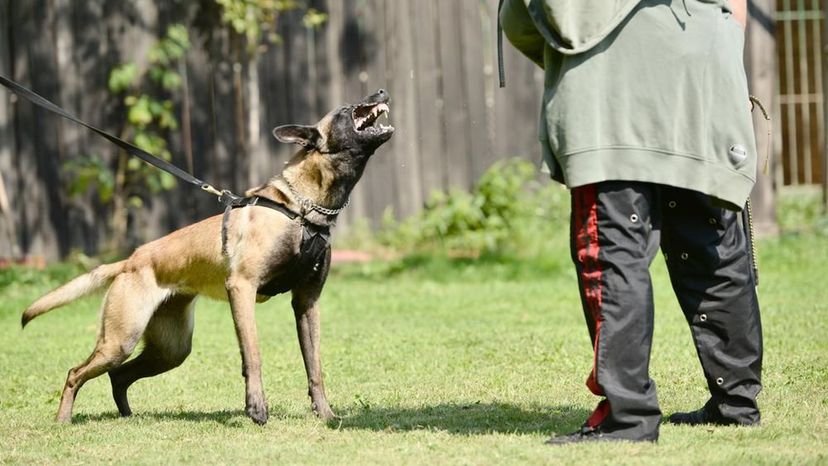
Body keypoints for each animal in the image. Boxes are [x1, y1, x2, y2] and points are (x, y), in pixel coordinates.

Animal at [20, 89, 394, 424]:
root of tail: (130, 262)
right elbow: (253, 355)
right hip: (120, 339)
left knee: (119, 376)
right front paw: (256, 409)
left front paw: (326, 415)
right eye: (346, 109)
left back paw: (127, 416)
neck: (300, 209)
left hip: (170, 349)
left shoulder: (307, 302)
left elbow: (314, 366)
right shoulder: (242, 288)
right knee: (75, 372)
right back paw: (63, 420)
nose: (380, 91)